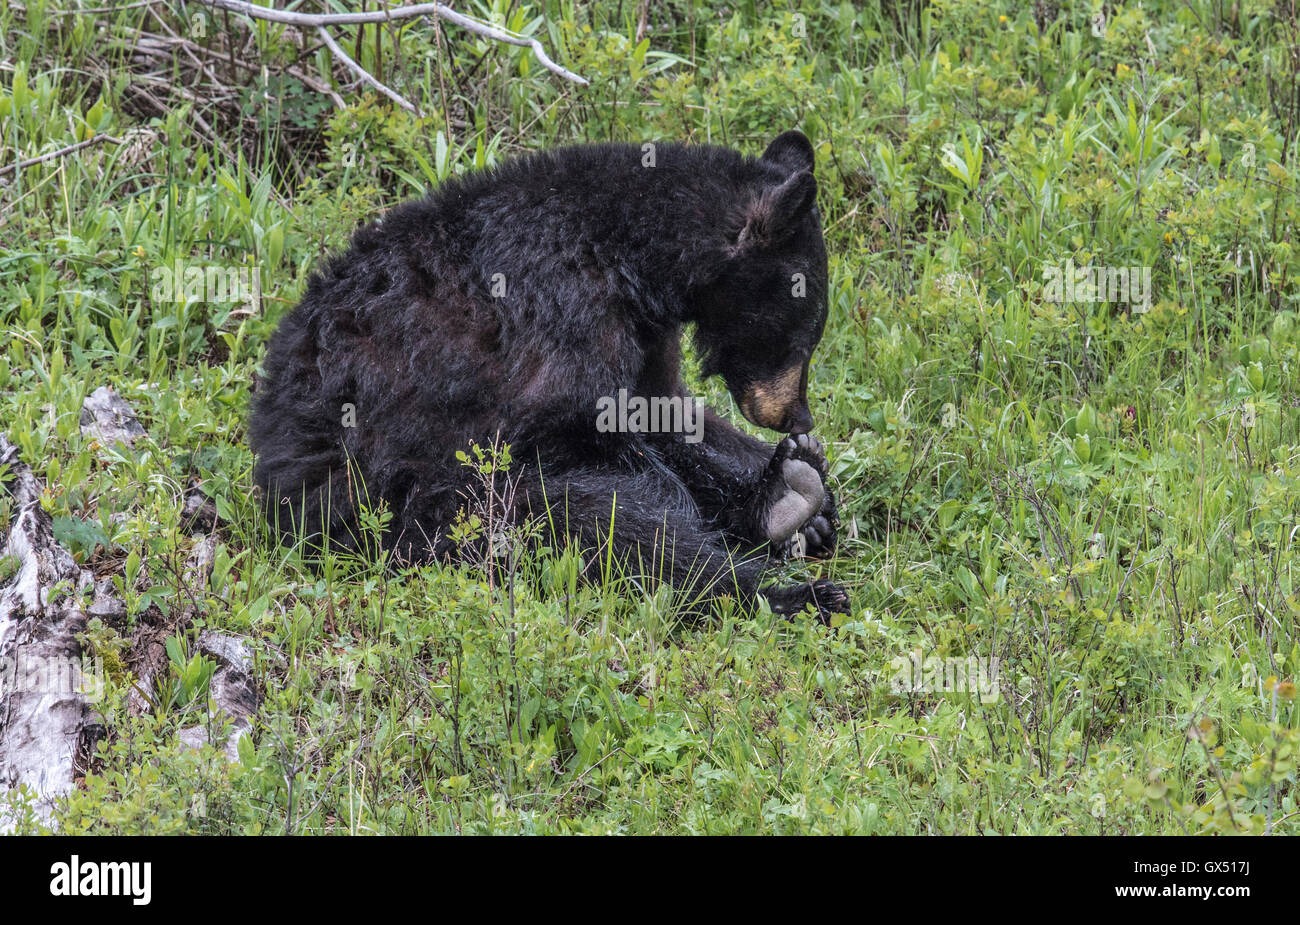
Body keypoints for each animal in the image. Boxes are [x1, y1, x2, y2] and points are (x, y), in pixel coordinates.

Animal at [250, 129, 849, 622]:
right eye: (805, 335)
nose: (800, 416)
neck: (629, 255)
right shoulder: (560, 311)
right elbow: (568, 432)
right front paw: (752, 501)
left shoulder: (643, 333)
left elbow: (662, 409)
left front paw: (794, 486)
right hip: (415, 513)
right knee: (594, 521)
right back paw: (791, 591)